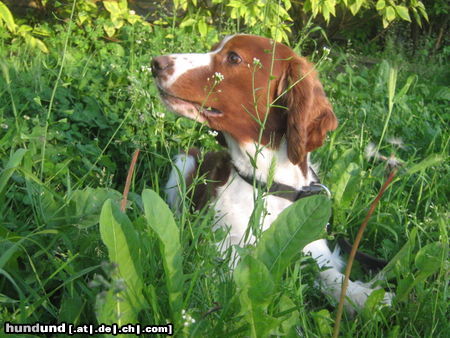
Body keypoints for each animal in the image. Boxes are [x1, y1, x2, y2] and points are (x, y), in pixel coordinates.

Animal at [151, 35, 390, 314]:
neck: (268, 184)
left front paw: (365, 297)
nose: (156, 63)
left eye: (234, 57)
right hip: (183, 162)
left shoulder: (312, 246)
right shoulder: (223, 255)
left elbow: (331, 275)